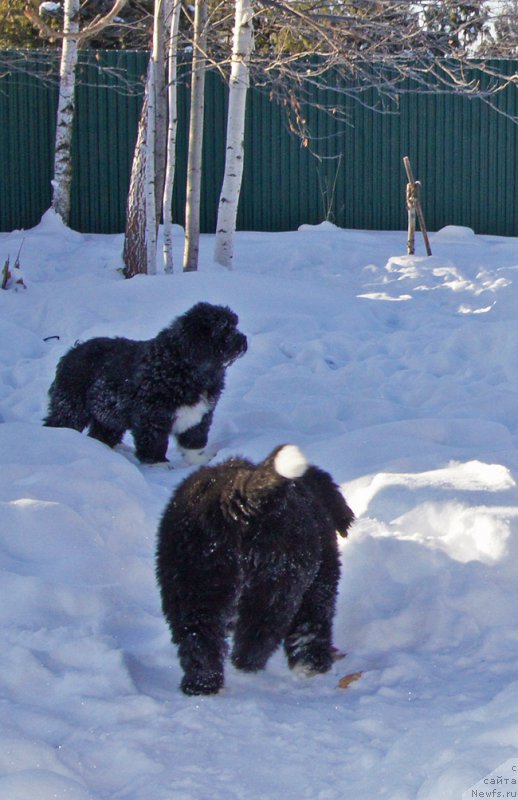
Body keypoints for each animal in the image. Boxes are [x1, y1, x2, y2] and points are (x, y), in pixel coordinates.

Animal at [43, 302, 249, 466]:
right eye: (224, 330)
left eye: (235, 326)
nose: (244, 340)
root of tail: (72, 351)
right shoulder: (151, 417)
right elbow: (154, 443)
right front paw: (158, 465)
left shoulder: (201, 415)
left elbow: (194, 439)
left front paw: (198, 461)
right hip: (72, 405)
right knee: (60, 422)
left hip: (108, 413)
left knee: (102, 433)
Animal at [156, 444, 356, 692]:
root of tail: (235, 497)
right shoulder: (319, 583)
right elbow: (311, 626)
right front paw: (314, 665)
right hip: (277, 583)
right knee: (258, 632)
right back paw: (246, 664)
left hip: (191, 583)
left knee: (197, 635)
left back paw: (201, 683)